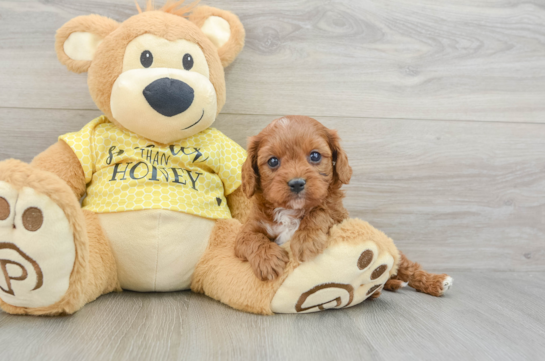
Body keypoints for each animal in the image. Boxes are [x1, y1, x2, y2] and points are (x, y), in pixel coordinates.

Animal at [233, 116, 348, 282]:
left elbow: (321, 210)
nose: (297, 183)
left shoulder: (340, 215)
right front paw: (268, 260)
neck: (290, 210)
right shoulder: (247, 229)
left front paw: (306, 239)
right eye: (273, 161)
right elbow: (250, 239)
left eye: (315, 156)